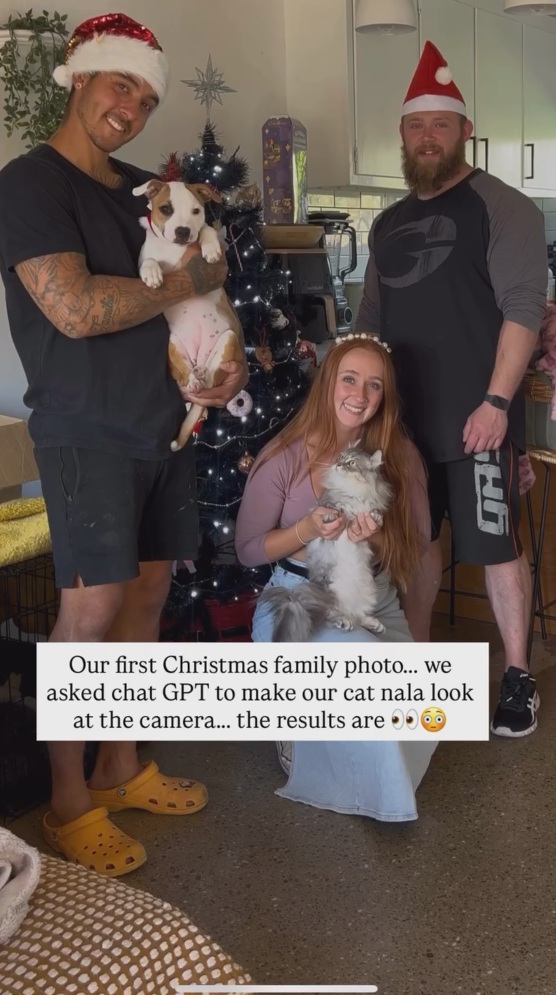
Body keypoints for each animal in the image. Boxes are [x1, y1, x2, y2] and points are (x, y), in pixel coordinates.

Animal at [132, 178, 245, 451]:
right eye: (165, 209)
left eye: (196, 211)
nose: (183, 231)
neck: (173, 249)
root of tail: (199, 359)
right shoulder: (147, 259)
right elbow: (148, 261)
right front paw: (151, 273)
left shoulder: (203, 231)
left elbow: (207, 229)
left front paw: (211, 249)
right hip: (173, 344)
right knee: (186, 376)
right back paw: (194, 379)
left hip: (228, 339)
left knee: (211, 379)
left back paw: (202, 376)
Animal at [259, 448, 393, 642]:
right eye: (341, 458)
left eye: (352, 463)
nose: (338, 464)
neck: (352, 491)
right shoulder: (326, 503)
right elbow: (332, 508)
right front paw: (331, 516)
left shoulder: (366, 510)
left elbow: (371, 513)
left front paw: (376, 518)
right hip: (328, 591)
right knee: (329, 616)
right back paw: (343, 621)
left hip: (366, 591)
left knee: (357, 616)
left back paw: (372, 623)